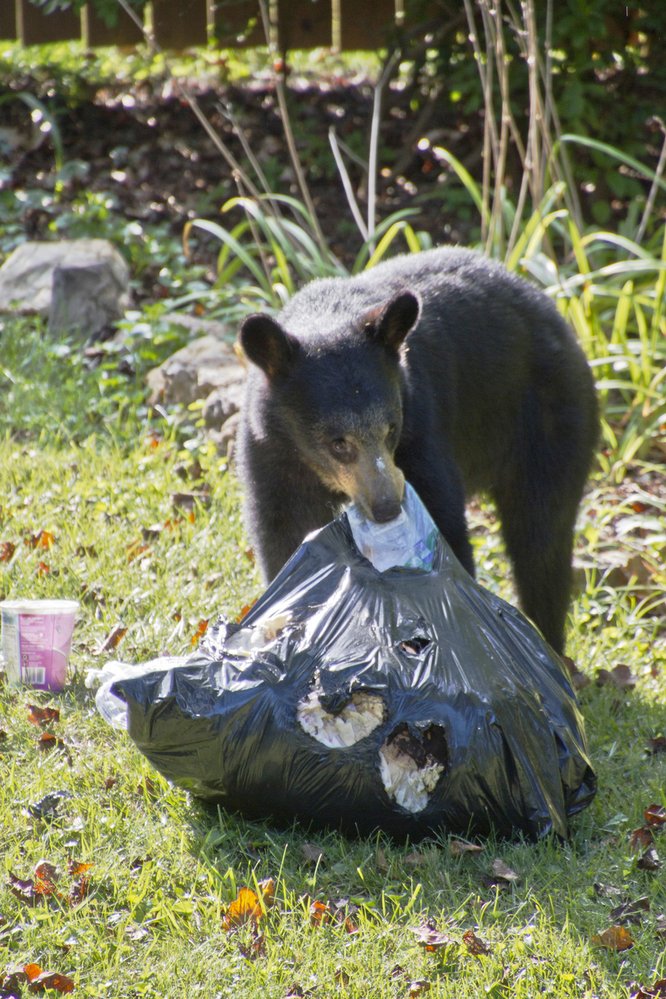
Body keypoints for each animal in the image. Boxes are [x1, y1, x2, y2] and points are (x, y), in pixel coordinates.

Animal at [237, 248, 596, 656]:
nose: (387, 508)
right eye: (338, 442)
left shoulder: (422, 430)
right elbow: (281, 532)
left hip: (549, 422)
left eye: (391, 428)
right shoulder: (270, 452)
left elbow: (447, 528)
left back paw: (549, 646)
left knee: (541, 539)